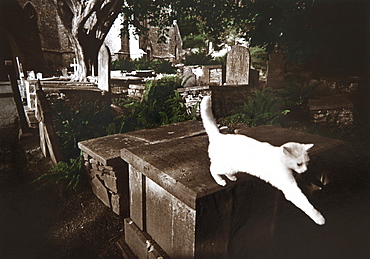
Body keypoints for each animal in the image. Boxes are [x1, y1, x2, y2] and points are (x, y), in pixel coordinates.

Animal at [201, 96, 326, 225]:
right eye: (299, 164)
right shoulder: (289, 187)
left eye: (307, 163)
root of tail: (219, 135)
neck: (280, 159)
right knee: (212, 169)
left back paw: (232, 177)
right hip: (226, 166)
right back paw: (221, 181)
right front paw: (319, 218)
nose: (305, 170)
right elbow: (306, 203)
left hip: (231, 168)